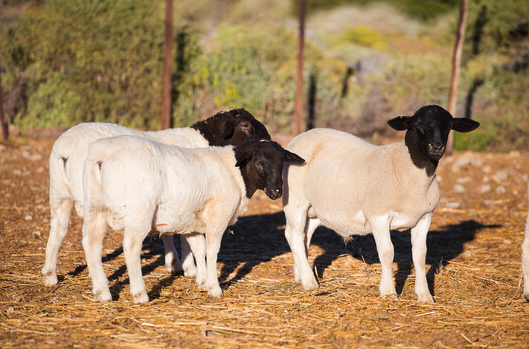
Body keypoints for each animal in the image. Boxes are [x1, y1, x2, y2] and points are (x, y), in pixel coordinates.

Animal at [40, 109, 268, 286]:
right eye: (246, 125)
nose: (268, 140)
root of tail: (66, 150)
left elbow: (169, 231)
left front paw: (175, 263)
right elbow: (184, 235)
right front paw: (190, 268)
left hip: (59, 194)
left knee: (58, 230)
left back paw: (50, 275)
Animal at [82, 136, 306, 302]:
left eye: (281, 163)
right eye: (259, 163)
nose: (277, 192)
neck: (235, 174)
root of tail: (102, 157)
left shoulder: (193, 222)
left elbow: (199, 249)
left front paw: (203, 281)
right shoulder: (218, 217)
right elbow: (212, 251)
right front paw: (214, 288)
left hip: (94, 208)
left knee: (91, 245)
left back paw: (102, 292)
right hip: (139, 212)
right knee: (130, 249)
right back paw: (140, 294)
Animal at [282, 104, 480, 302]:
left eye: (449, 126)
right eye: (418, 124)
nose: (437, 147)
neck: (405, 168)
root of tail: (299, 137)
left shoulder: (425, 217)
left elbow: (420, 254)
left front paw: (425, 295)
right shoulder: (378, 215)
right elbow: (387, 252)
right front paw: (389, 291)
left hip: (315, 209)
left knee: (303, 236)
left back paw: (300, 275)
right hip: (295, 202)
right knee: (295, 236)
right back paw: (309, 282)